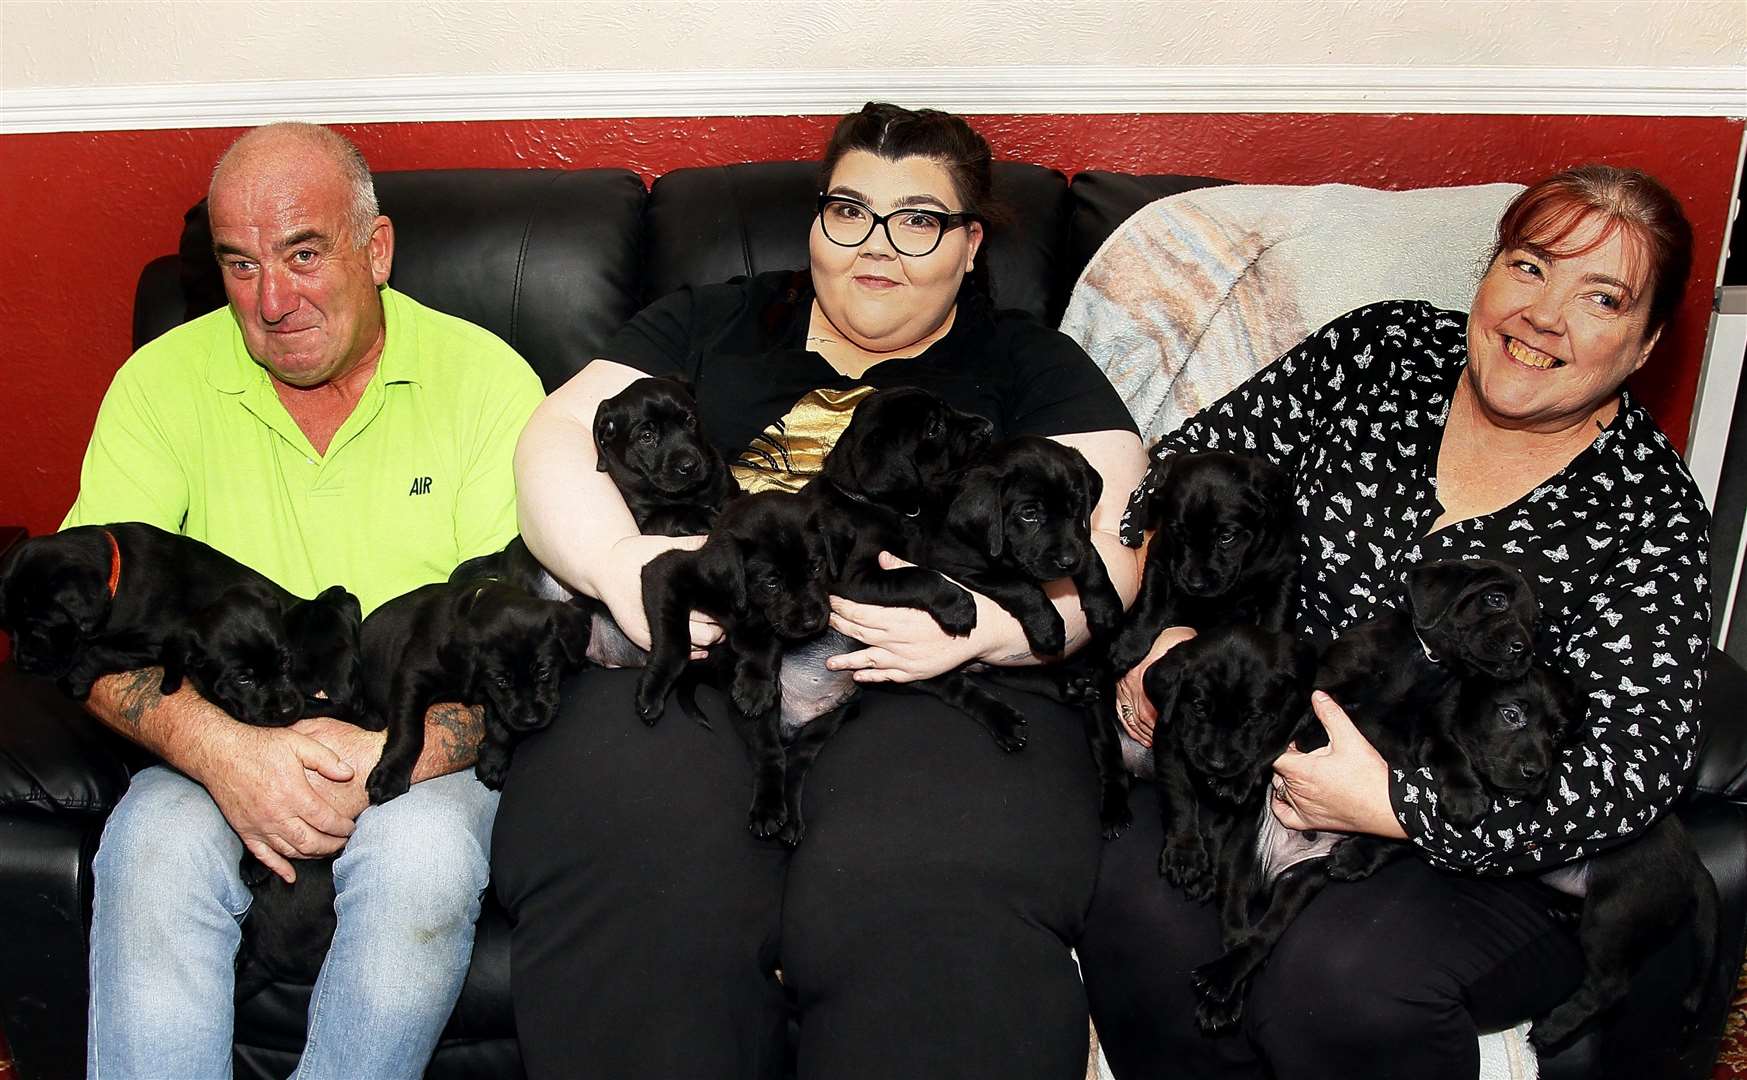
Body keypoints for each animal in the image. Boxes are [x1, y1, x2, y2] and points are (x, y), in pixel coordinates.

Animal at [639, 489, 835, 842]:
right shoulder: (664, 573)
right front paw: (653, 690)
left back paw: (784, 816)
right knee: (770, 752)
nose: (813, 622)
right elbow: (675, 642)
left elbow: (766, 640)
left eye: (816, 566)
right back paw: (771, 810)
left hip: (823, 722)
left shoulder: (767, 627)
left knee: (795, 761)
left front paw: (755, 684)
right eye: (771, 583)